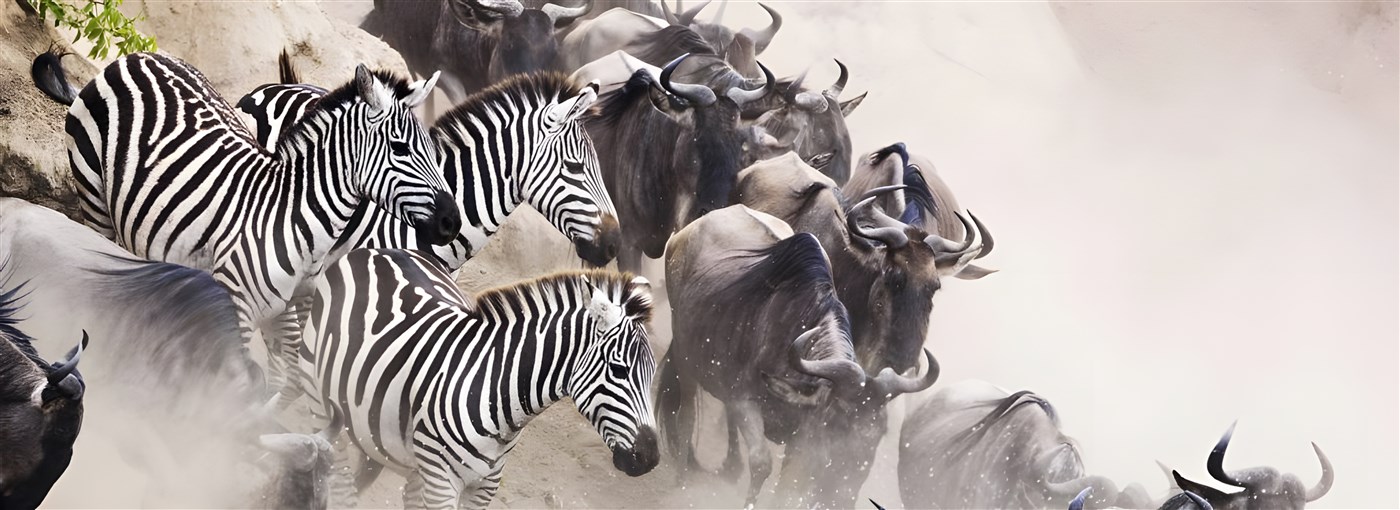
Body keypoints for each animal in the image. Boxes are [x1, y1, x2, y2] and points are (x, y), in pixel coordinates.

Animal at [32, 51, 462, 395]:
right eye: (401, 148)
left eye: (431, 147)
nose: (452, 222)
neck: (293, 220)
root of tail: (136, 56)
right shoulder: (233, 305)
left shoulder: (287, 311)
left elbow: (285, 380)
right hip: (93, 195)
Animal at [297, 248, 659, 509]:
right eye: (619, 370)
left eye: (652, 374)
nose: (650, 458)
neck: (494, 389)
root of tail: (370, 251)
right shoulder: (442, 482)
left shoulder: (485, 485)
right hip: (321, 407)